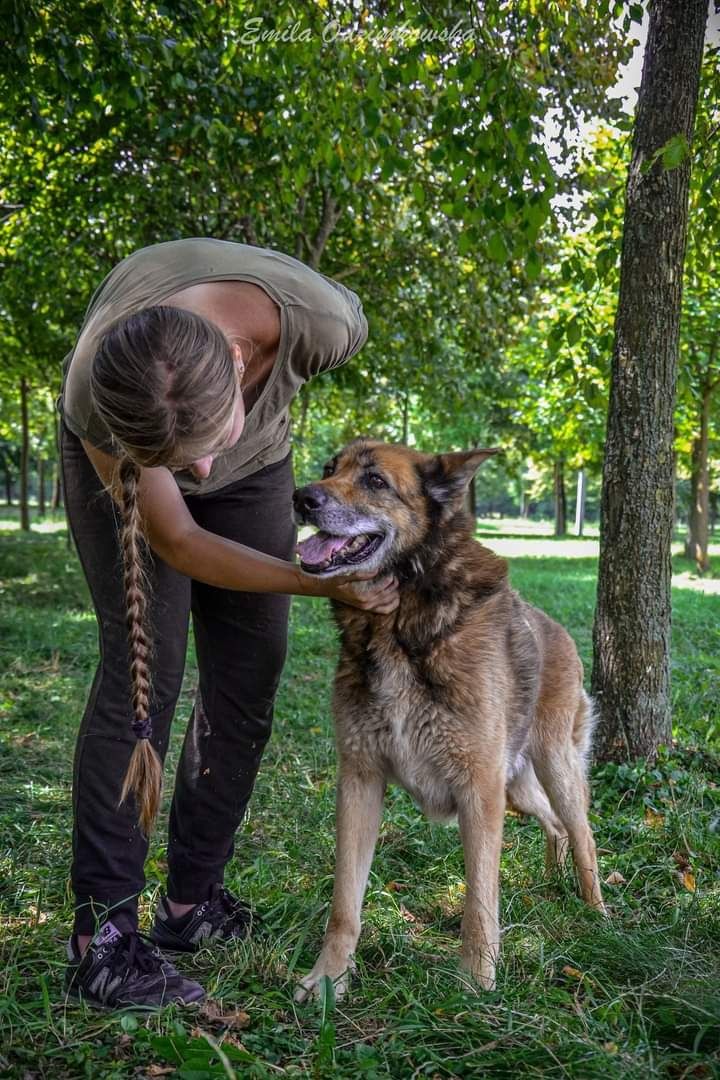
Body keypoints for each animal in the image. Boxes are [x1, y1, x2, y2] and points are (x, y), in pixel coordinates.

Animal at [289, 442, 604, 997]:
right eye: (329, 469)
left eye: (375, 480)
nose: (301, 497)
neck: (398, 623)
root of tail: (560, 631)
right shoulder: (360, 780)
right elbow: (344, 902)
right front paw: (329, 978)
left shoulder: (479, 791)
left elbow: (480, 899)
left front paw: (477, 982)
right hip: (516, 789)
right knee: (555, 825)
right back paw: (553, 875)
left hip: (551, 767)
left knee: (582, 832)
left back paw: (597, 912)